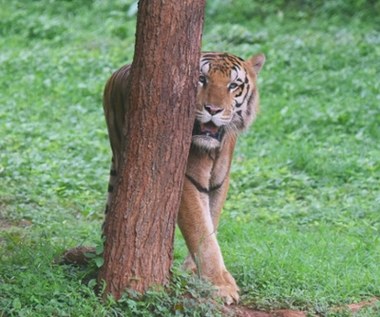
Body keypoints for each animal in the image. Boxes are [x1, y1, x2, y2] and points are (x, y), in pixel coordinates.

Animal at [102, 51, 266, 304]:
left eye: (233, 85)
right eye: (201, 79)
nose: (213, 110)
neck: (212, 149)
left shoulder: (220, 182)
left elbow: (211, 221)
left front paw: (193, 271)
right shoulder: (188, 181)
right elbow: (202, 232)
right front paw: (221, 285)